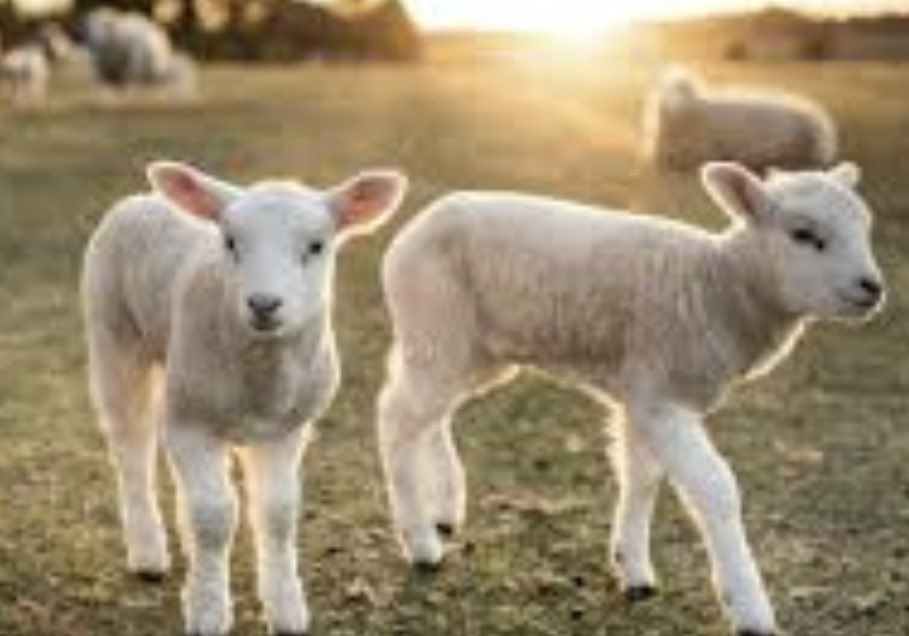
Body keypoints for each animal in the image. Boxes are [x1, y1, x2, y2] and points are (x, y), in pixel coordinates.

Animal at [83, 161, 407, 635]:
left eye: (316, 246)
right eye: (230, 242)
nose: (264, 304)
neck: (261, 381)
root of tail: (141, 197)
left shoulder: (288, 429)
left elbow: (277, 513)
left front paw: (286, 608)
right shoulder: (191, 423)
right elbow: (214, 517)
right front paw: (207, 608)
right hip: (113, 334)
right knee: (131, 448)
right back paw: (148, 552)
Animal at [376, 161, 884, 635]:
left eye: (864, 226)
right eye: (803, 235)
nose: (873, 288)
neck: (720, 287)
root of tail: (417, 224)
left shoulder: (642, 392)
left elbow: (642, 477)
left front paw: (633, 567)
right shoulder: (661, 398)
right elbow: (716, 489)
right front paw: (749, 608)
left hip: (470, 348)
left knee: (431, 413)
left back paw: (443, 510)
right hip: (437, 324)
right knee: (398, 418)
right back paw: (420, 543)